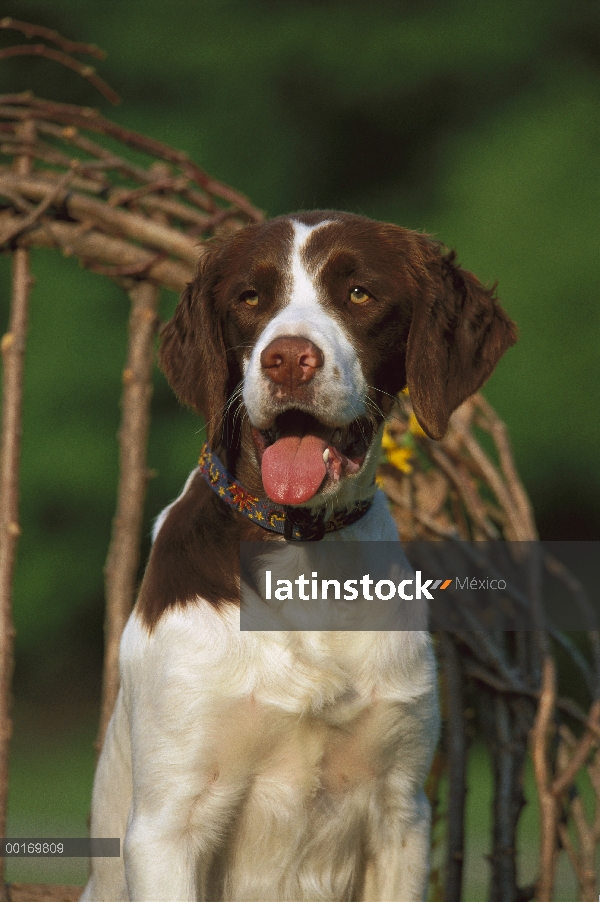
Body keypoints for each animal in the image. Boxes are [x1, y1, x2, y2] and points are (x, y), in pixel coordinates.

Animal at [83, 214, 516, 902]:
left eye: (360, 294)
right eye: (248, 298)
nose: (287, 359)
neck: (303, 555)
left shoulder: (400, 811)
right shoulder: (167, 823)